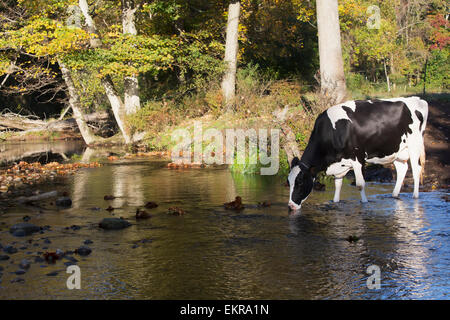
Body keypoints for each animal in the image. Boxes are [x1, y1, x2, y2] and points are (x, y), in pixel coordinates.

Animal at [288, 95, 428, 210]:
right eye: (288, 182)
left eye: (300, 182)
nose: (290, 206)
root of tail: (418, 99)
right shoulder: (340, 164)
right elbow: (337, 185)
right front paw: (336, 202)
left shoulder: (358, 158)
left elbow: (360, 185)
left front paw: (365, 203)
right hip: (397, 150)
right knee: (402, 170)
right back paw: (394, 195)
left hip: (414, 145)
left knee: (416, 170)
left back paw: (415, 197)